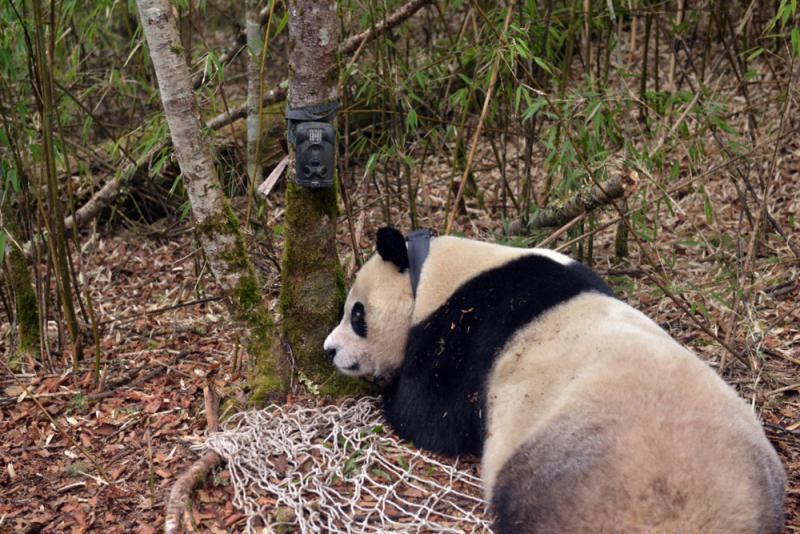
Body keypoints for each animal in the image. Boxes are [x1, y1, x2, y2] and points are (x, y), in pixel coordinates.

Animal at [322, 228, 784, 532]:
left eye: (357, 314)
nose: (329, 350)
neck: (435, 272)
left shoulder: (468, 330)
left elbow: (431, 415)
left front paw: (389, 392)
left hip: (567, 475)